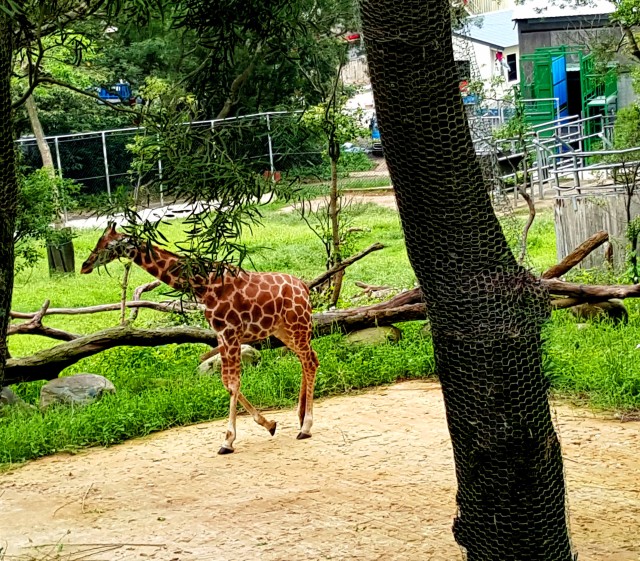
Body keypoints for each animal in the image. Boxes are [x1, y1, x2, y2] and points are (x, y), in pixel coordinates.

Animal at [81, 223, 319, 454]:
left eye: (107, 245)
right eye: (98, 241)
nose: (85, 265)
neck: (204, 285)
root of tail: (304, 288)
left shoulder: (230, 332)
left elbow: (233, 383)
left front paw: (228, 441)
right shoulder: (222, 335)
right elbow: (226, 382)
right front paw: (269, 424)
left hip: (297, 325)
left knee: (309, 362)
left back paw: (306, 427)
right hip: (283, 330)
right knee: (309, 359)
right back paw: (300, 420)